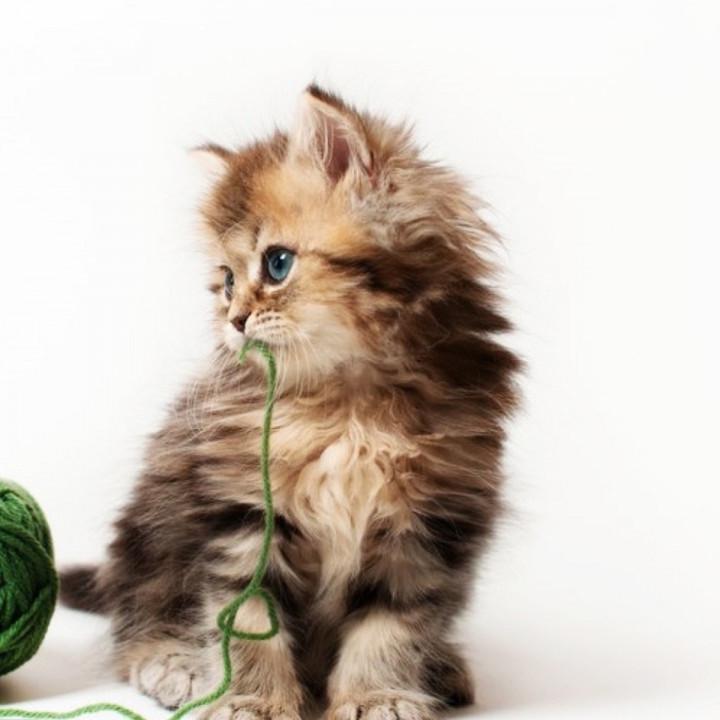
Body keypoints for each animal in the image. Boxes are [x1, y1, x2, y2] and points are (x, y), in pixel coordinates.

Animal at [61, 85, 521, 720]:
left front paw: (377, 695)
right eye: (227, 282)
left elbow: (392, 625)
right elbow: (247, 620)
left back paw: (442, 667)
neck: (347, 409)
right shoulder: (241, 515)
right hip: (148, 537)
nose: (233, 320)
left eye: (277, 264)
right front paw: (252, 700)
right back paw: (175, 665)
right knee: (138, 618)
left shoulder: (428, 522)